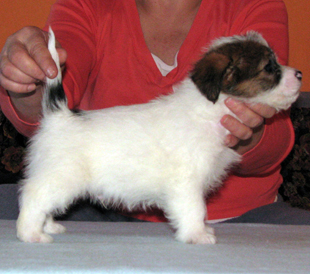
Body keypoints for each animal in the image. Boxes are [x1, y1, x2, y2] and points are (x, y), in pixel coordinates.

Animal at [15, 27, 302, 244]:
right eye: (269, 68)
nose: (299, 74)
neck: (208, 111)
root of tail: (59, 115)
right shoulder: (186, 183)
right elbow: (195, 209)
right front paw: (197, 235)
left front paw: (202, 230)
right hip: (61, 176)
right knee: (33, 197)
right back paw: (31, 233)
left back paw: (48, 226)